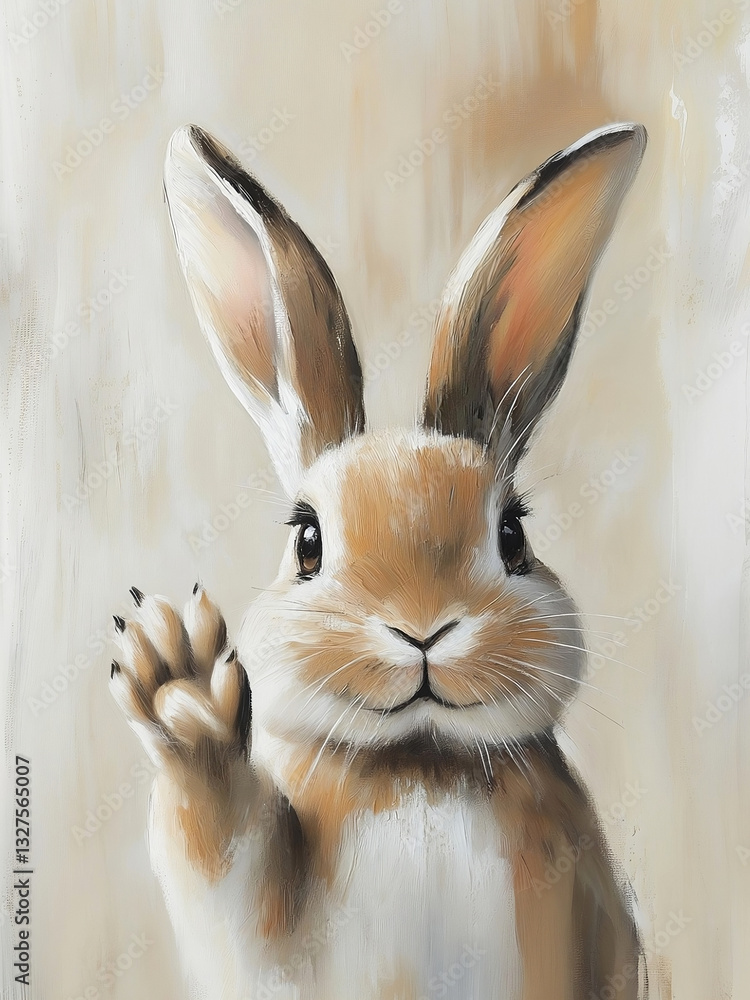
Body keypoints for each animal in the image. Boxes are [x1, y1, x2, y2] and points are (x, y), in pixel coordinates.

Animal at [110, 120, 648, 1000]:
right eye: (307, 541)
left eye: (513, 536)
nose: (423, 630)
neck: (418, 767)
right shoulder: (264, 927)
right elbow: (220, 852)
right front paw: (180, 684)